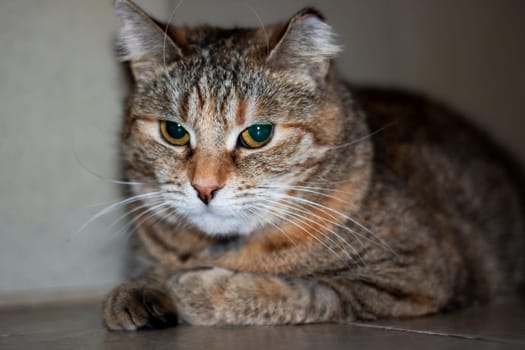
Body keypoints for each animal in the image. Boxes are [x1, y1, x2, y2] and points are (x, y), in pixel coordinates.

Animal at [103, 0, 524, 330]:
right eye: (174, 131)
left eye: (258, 134)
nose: (204, 188)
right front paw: (139, 289)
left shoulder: (413, 277)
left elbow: (302, 293)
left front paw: (195, 288)